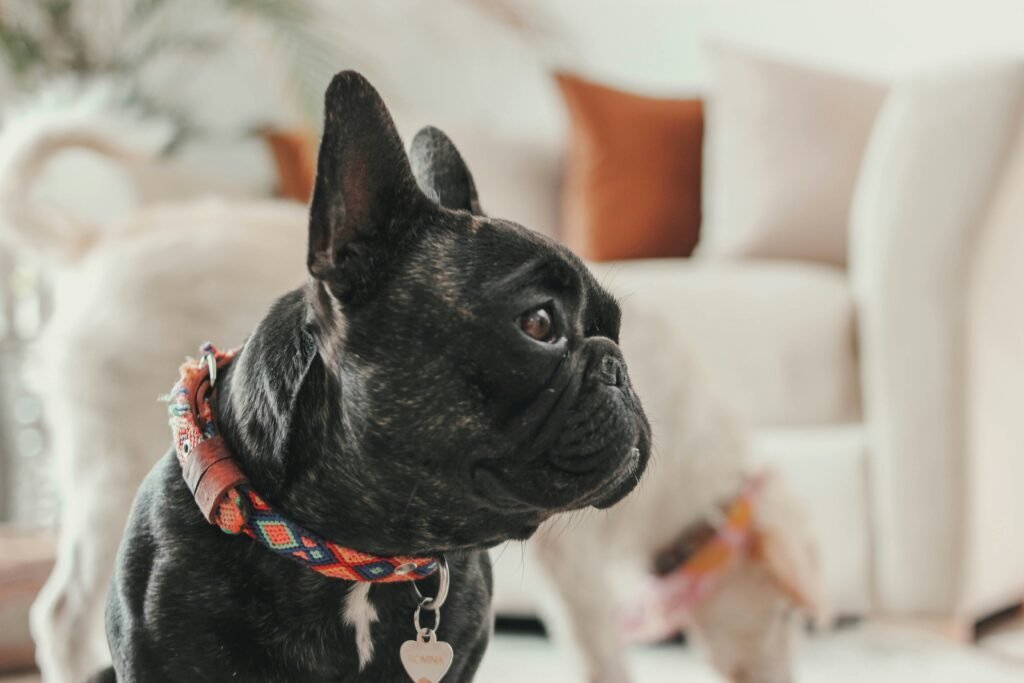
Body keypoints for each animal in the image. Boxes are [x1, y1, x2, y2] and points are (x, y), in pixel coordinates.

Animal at [4, 90, 823, 683]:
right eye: (538, 324)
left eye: (612, 327)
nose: (614, 363)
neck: (361, 554)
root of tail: (95, 241)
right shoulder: (576, 573)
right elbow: (601, 654)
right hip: (105, 465)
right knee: (61, 616)